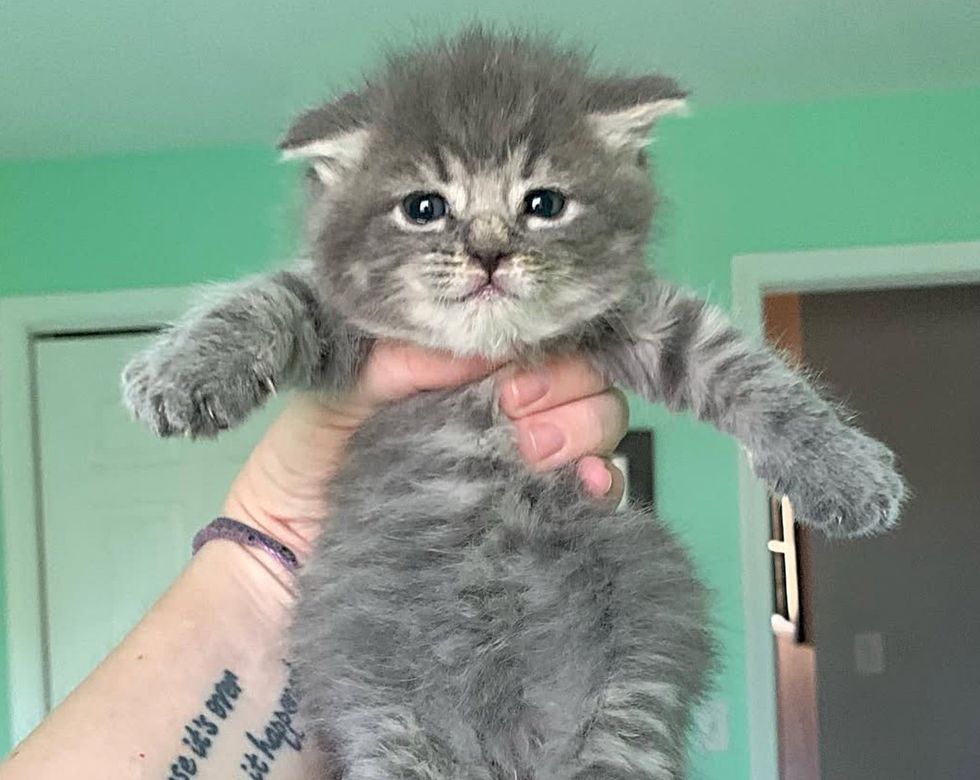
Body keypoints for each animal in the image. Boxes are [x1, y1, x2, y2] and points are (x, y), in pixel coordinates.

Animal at [124, 27, 912, 776]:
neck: (486, 364)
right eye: (424, 208)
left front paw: (843, 469)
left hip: (644, 626)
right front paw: (182, 370)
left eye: (543, 204)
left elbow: (740, 365)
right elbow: (268, 299)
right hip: (365, 675)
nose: (489, 253)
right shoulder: (348, 328)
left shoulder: (638, 323)